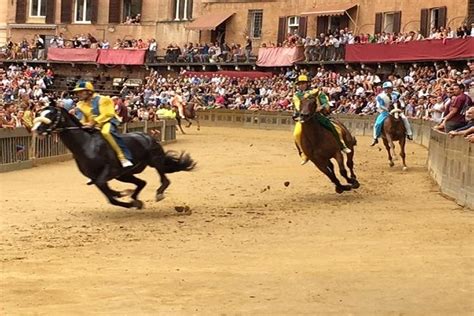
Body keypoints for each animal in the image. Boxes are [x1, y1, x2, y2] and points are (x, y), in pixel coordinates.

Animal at [32, 107, 196, 210]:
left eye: (51, 115)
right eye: (40, 112)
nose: (36, 129)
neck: (86, 145)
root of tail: (147, 136)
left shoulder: (109, 171)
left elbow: (108, 192)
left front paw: (123, 195)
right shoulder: (96, 177)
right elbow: (109, 196)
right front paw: (127, 199)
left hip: (154, 160)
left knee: (164, 178)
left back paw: (159, 193)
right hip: (125, 175)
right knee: (142, 182)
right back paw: (135, 198)